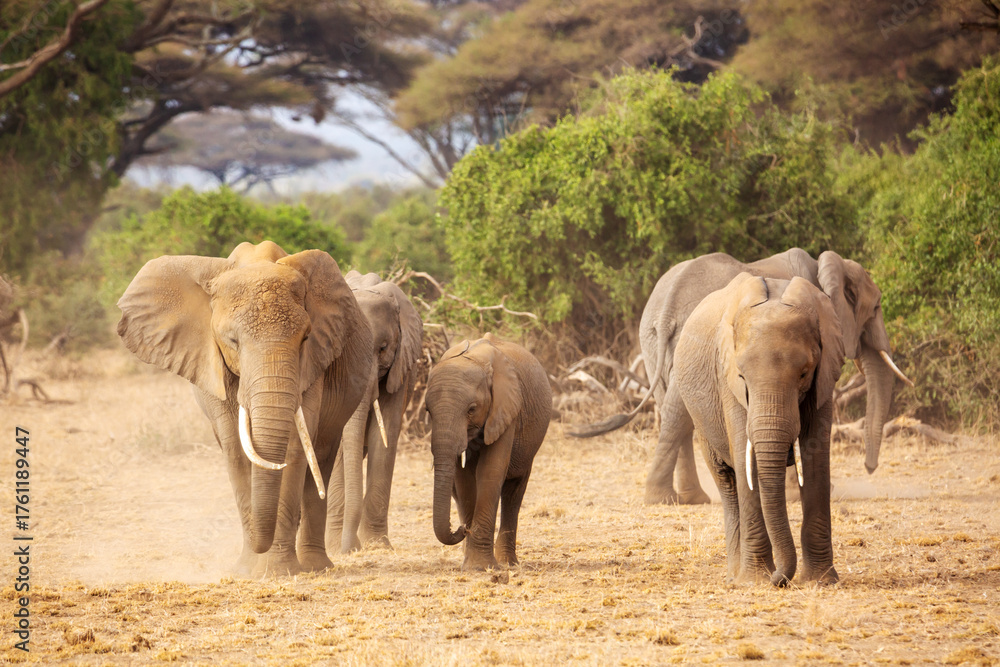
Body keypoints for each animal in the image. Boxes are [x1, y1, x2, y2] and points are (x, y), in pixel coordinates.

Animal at [117, 241, 373, 577]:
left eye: (305, 338)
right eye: (232, 341)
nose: (258, 546)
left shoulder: (313, 362)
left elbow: (294, 447)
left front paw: (277, 571)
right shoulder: (211, 362)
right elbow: (236, 448)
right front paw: (248, 570)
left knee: (323, 453)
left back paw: (316, 567)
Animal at [326, 271, 423, 553]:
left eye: (382, 348)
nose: (349, 549)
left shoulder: (401, 368)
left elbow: (384, 437)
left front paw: (377, 545)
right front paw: (335, 547)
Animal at [426, 333, 551, 571]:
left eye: (471, 409)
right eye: (428, 411)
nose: (461, 529)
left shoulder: (507, 408)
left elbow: (490, 471)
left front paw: (480, 567)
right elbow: (464, 478)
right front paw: (471, 565)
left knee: (514, 492)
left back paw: (508, 563)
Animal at [569, 248, 912, 505]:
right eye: (876, 307)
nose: (870, 468)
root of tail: (666, 308)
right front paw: (798, 494)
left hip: (653, 342)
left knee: (675, 411)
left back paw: (685, 499)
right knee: (678, 411)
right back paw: (670, 500)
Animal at [674, 273, 844, 585]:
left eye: (804, 374)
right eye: (742, 376)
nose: (781, 579)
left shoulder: (825, 377)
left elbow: (815, 459)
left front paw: (821, 581)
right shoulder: (727, 380)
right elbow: (746, 461)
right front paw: (755, 581)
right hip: (701, 419)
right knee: (726, 482)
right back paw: (735, 574)